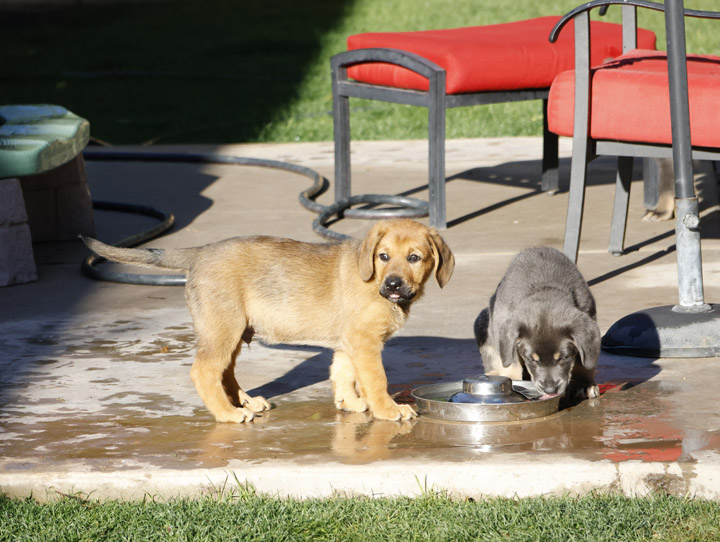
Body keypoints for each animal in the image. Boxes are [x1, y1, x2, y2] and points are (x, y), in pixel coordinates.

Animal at [81, 221, 452, 424]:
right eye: (383, 256)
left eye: (414, 258)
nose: (393, 285)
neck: (373, 280)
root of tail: (201, 252)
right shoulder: (364, 342)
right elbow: (376, 379)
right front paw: (388, 410)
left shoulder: (350, 342)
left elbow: (344, 373)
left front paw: (350, 403)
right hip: (222, 328)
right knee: (204, 371)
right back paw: (228, 414)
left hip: (231, 331)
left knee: (225, 372)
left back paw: (245, 402)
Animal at [476, 248, 600, 400]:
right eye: (532, 359)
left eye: (563, 358)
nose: (550, 389)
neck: (545, 287)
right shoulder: (501, 325)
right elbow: (511, 364)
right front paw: (511, 383)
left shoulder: (589, 316)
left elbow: (582, 362)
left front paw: (584, 384)